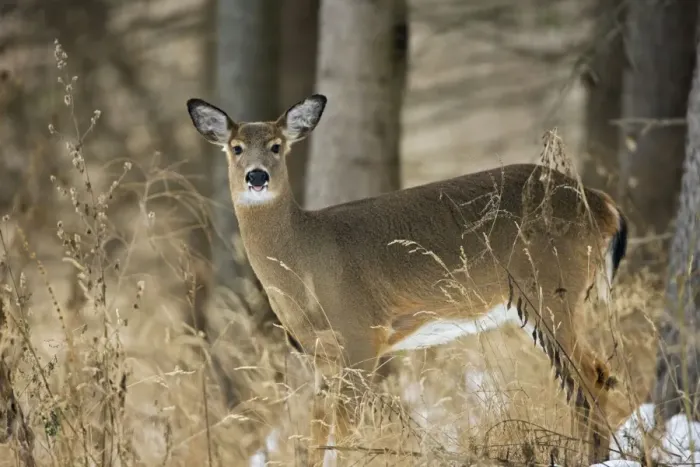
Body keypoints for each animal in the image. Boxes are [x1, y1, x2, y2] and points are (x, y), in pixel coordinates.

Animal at [186, 94, 628, 466]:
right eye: (236, 147)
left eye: (277, 145)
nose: (257, 177)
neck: (305, 262)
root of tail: (602, 204)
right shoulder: (318, 354)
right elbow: (315, 433)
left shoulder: (360, 335)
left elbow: (347, 430)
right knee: (590, 378)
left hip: (550, 288)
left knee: (591, 377)